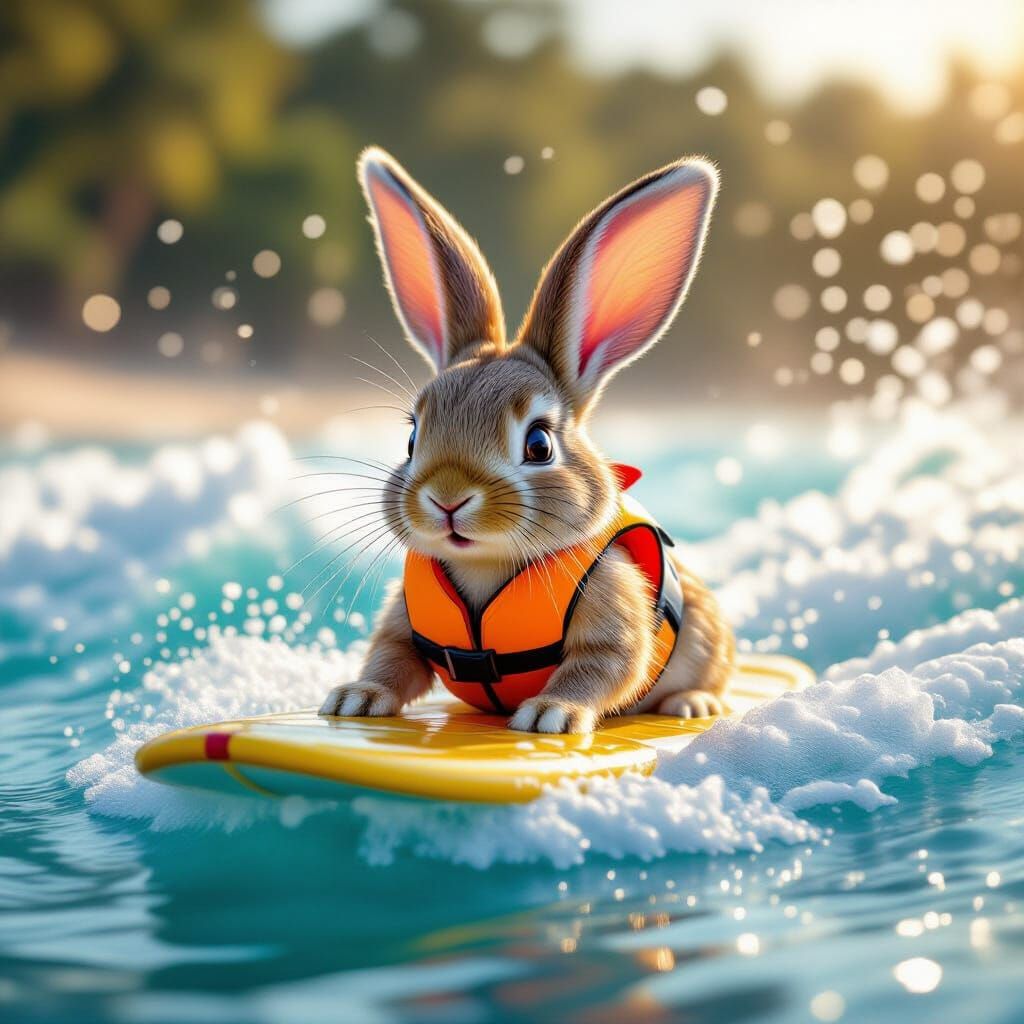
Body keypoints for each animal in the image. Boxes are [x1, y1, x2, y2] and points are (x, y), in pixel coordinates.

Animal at [318, 146, 734, 734]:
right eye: (413, 437)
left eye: (539, 444)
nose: (447, 499)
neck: (485, 566)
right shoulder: (402, 624)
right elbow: (391, 658)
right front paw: (355, 698)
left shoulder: (614, 614)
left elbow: (602, 666)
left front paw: (549, 715)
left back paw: (692, 704)